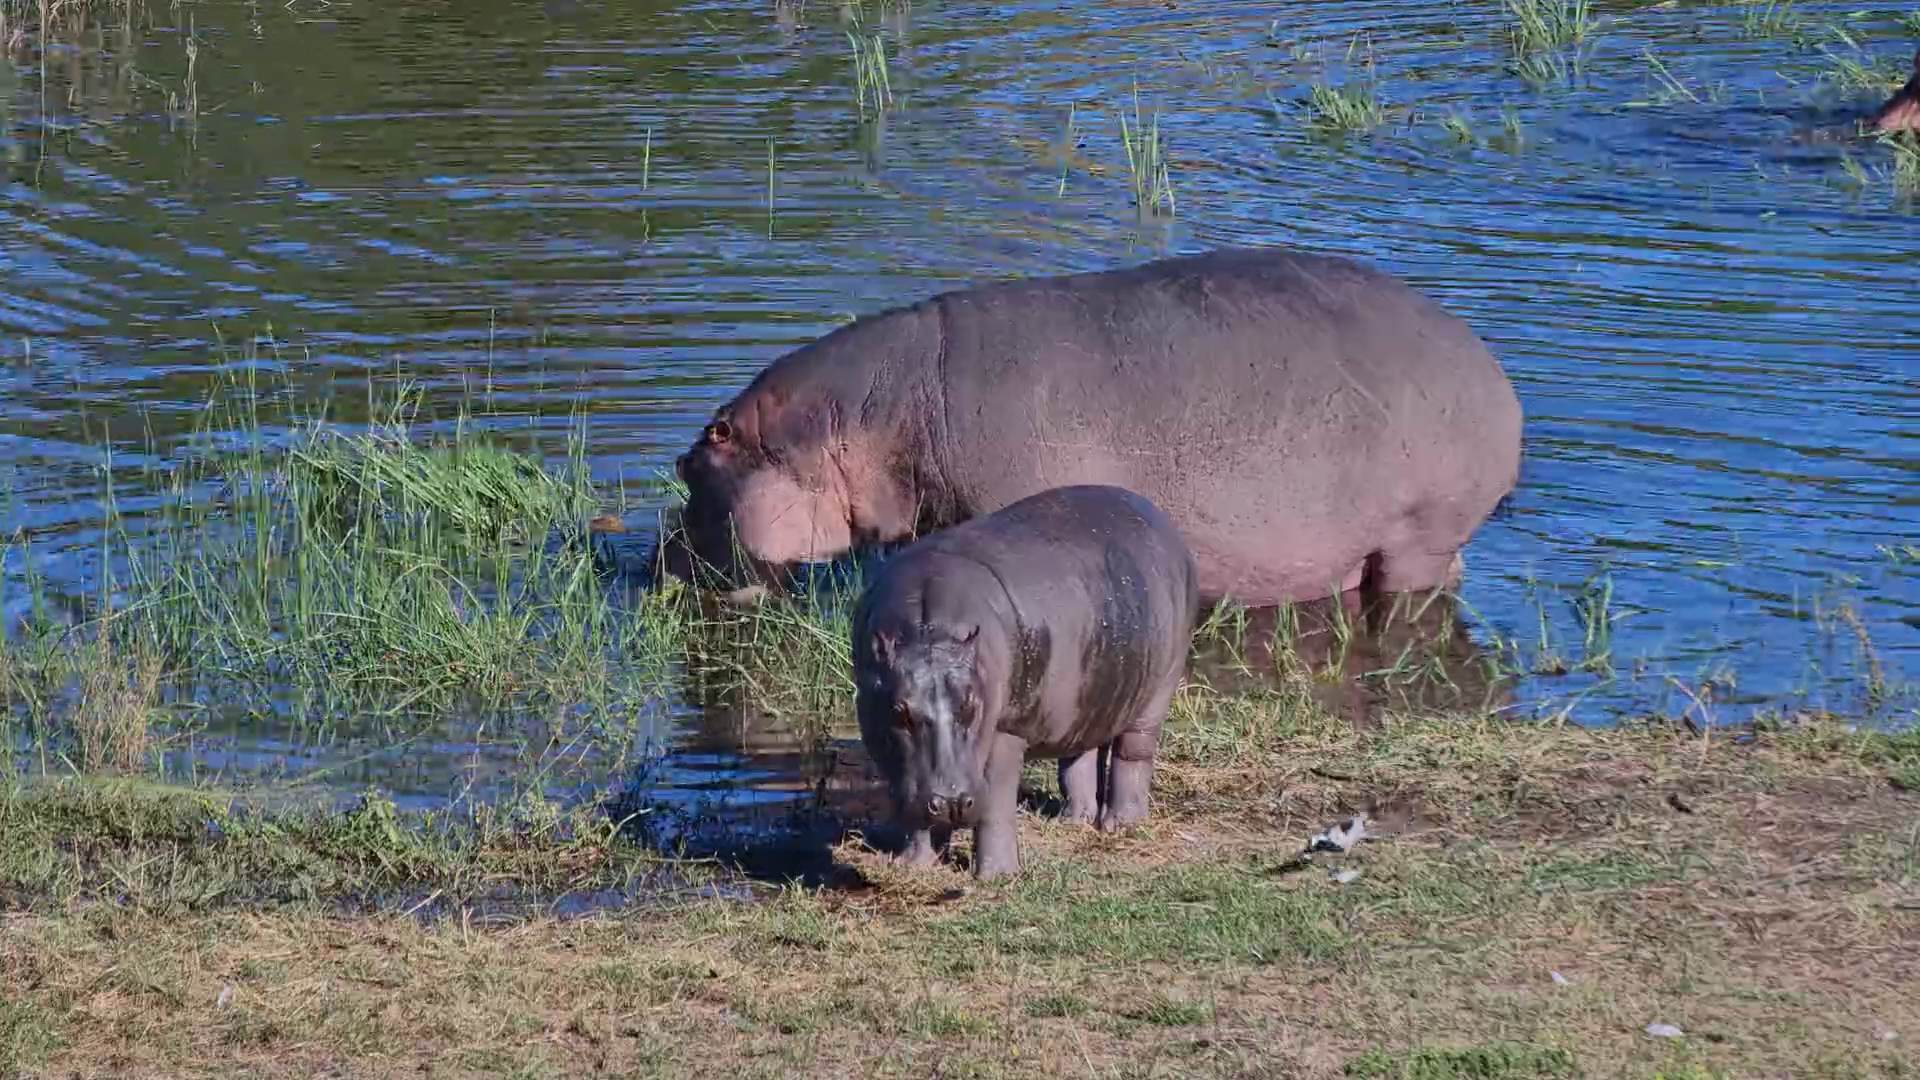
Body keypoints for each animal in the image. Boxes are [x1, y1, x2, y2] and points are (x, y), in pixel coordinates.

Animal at [850, 484, 1199, 880]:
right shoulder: (898, 758)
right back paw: (1074, 821)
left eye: (971, 705)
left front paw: (996, 876)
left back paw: (1120, 825)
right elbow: (914, 809)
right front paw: (915, 866)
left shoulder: (1005, 727)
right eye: (899, 710)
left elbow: (995, 805)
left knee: (1133, 754)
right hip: (1089, 693)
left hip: (1158, 690)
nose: (952, 801)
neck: (929, 631)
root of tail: (1157, 516)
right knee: (1079, 756)